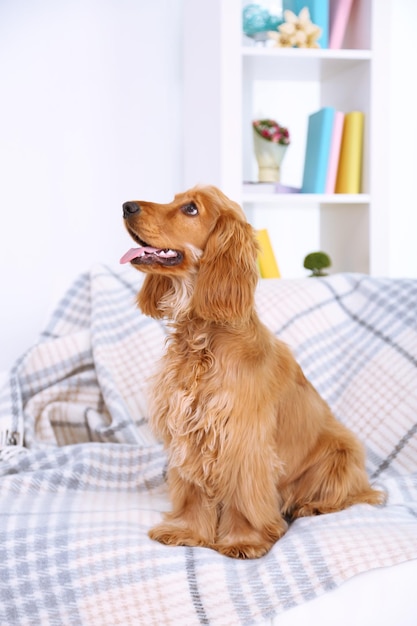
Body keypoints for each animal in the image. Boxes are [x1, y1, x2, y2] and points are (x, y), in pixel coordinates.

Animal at [118, 184, 382, 556]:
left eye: (190, 209)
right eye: (174, 199)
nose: (127, 206)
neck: (203, 337)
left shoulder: (241, 438)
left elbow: (243, 495)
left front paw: (244, 540)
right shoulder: (189, 431)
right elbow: (193, 491)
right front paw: (187, 531)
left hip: (341, 452)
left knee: (354, 494)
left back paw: (310, 506)